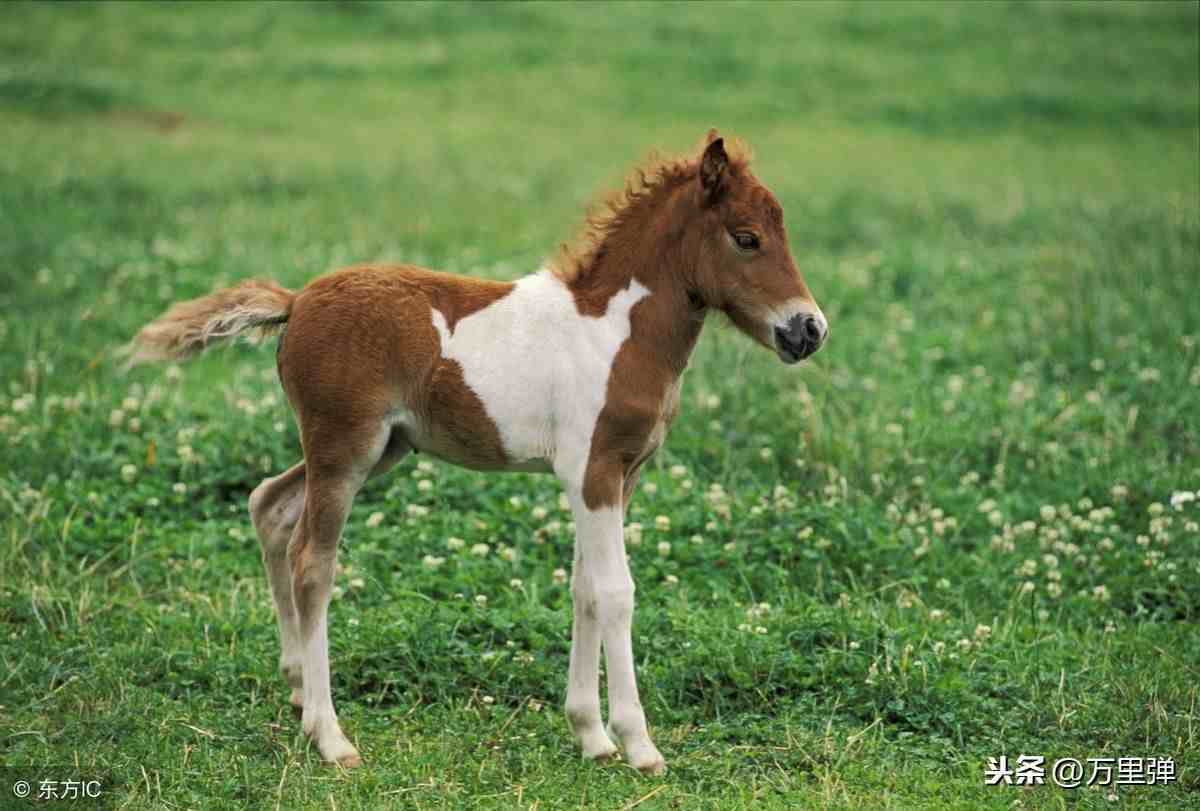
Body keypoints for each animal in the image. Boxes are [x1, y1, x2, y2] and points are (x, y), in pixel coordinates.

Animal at [129, 131, 825, 772]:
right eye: (746, 238)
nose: (809, 329)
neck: (614, 332)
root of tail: (296, 302)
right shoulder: (594, 470)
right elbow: (616, 592)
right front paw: (638, 744)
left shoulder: (613, 479)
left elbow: (584, 589)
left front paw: (591, 736)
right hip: (343, 448)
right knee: (312, 563)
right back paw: (330, 737)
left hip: (379, 449)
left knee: (268, 505)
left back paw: (298, 689)